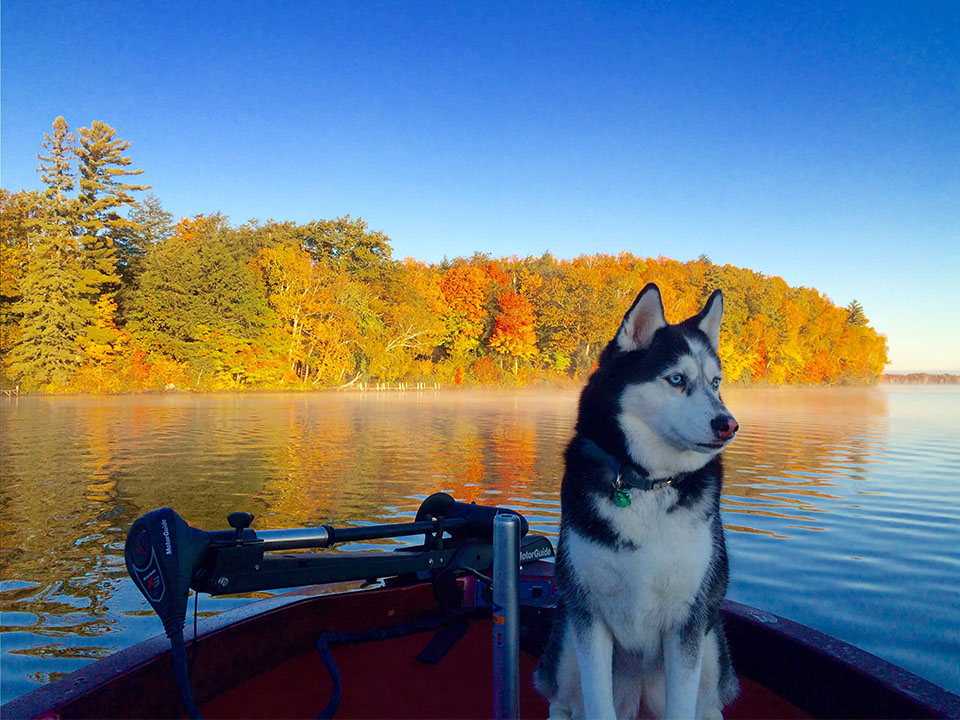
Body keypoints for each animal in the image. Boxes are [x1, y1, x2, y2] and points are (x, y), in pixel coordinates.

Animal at [536, 284, 740, 720]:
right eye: (676, 379)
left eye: (715, 383)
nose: (728, 424)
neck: (649, 485)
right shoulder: (588, 615)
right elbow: (597, 706)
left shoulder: (687, 622)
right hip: (565, 649)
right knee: (562, 701)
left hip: (713, 649)